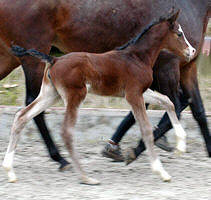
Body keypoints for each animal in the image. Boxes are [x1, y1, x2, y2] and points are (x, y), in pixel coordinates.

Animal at [0, 0, 210, 170]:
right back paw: (61, 159)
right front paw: (133, 150)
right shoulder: (167, 68)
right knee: (33, 107)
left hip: (11, 57)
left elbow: (196, 108)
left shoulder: (186, 68)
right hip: (35, 59)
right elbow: (174, 106)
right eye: (179, 33)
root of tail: (53, 60)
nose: (192, 51)